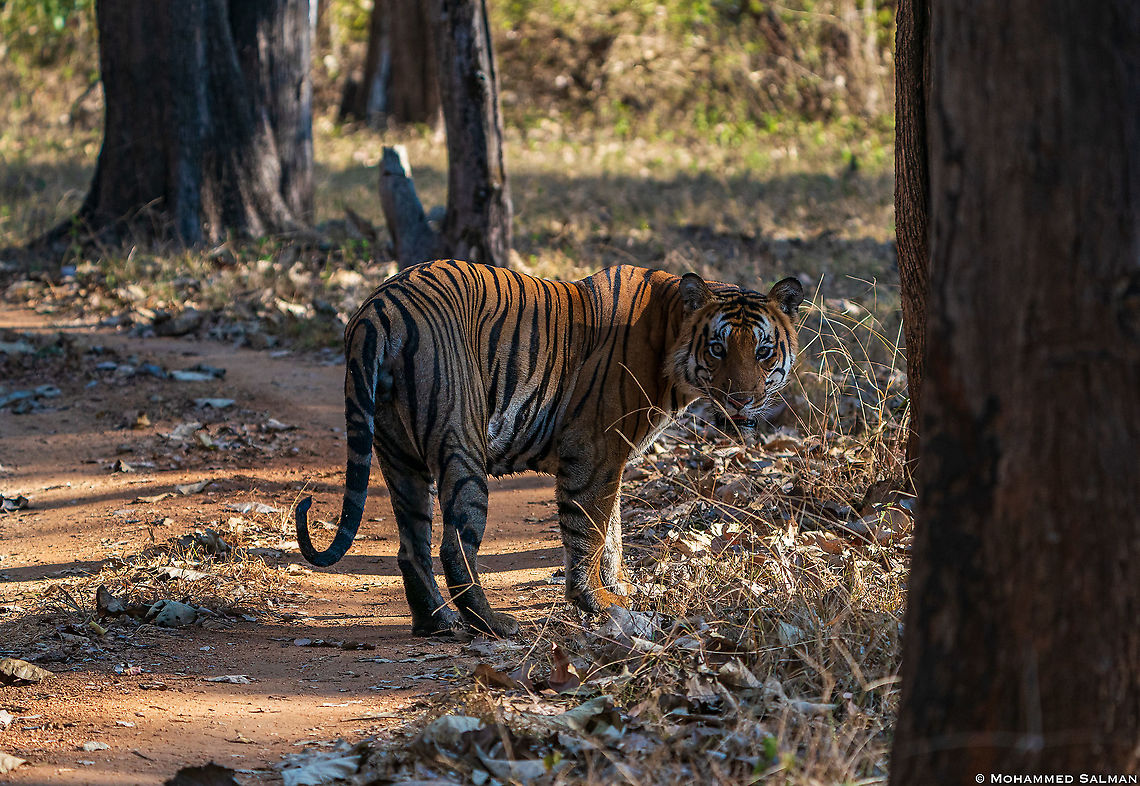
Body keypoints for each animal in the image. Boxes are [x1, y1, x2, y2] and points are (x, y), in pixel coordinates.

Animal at [296, 259, 803, 638]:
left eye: (763, 352)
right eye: (717, 349)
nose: (741, 399)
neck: (669, 338)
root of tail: (378, 308)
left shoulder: (613, 459)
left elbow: (612, 531)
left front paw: (620, 591)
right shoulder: (595, 449)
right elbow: (590, 532)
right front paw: (601, 605)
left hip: (397, 453)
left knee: (411, 545)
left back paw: (435, 624)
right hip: (462, 445)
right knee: (453, 546)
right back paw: (492, 625)